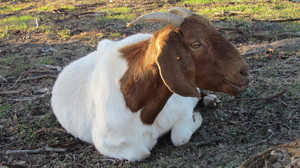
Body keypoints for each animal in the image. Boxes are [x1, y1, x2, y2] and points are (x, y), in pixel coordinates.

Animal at [51, 7, 248, 161]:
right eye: (196, 44)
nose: (244, 72)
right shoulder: (105, 142)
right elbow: (142, 153)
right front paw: (197, 117)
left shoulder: (181, 106)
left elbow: (179, 136)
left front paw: (196, 117)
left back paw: (210, 99)